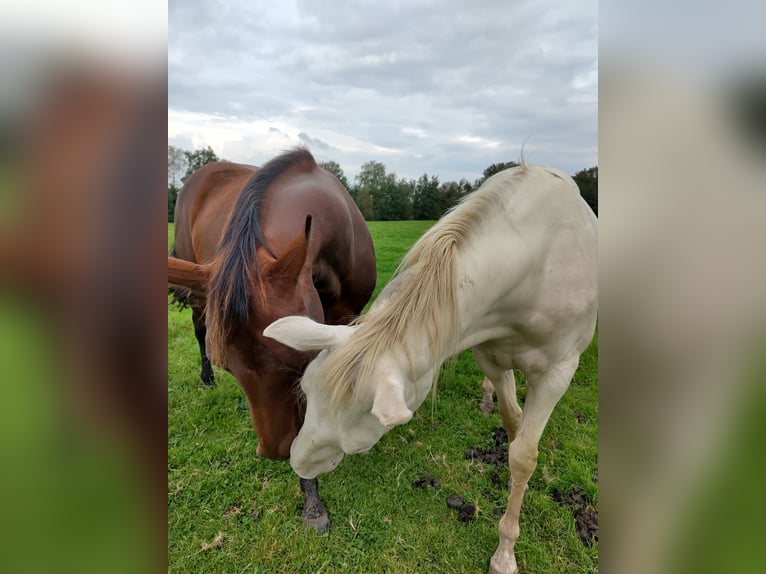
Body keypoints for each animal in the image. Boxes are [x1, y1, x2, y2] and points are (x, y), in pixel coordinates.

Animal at [168, 146, 378, 532]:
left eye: (301, 362)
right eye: (230, 368)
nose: (276, 453)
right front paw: (311, 495)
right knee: (199, 326)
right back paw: (205, 378)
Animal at [264, 163, 600, 574]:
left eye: (358, 446)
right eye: (306, 394)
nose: (298, 464)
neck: (535, 265)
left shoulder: (557, 372)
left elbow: (523, 455)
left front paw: (505, 552)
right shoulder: (489, 352)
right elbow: (512, 423)